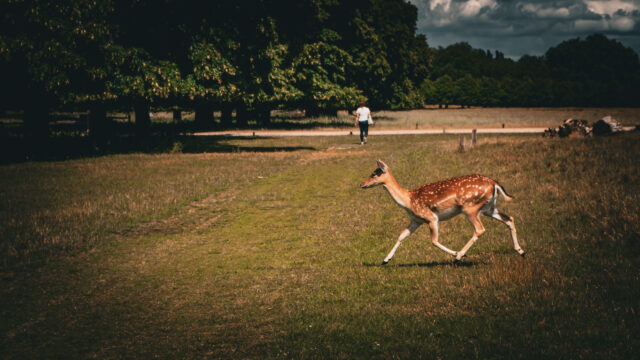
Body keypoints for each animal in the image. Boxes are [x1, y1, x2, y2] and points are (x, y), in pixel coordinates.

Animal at [360, 160, 524, 264]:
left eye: (374, 174)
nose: (361, 184)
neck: (408, 201)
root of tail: (495, 184)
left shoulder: (431, 217)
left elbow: (433, 241)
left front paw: (456, 254)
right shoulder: (416, 220)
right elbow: (401, 235)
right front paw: (385, 260)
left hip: (470, 207)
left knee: (480, 229)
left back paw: (459, 256)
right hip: (490, 207)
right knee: (509, 218)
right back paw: (521, 251)